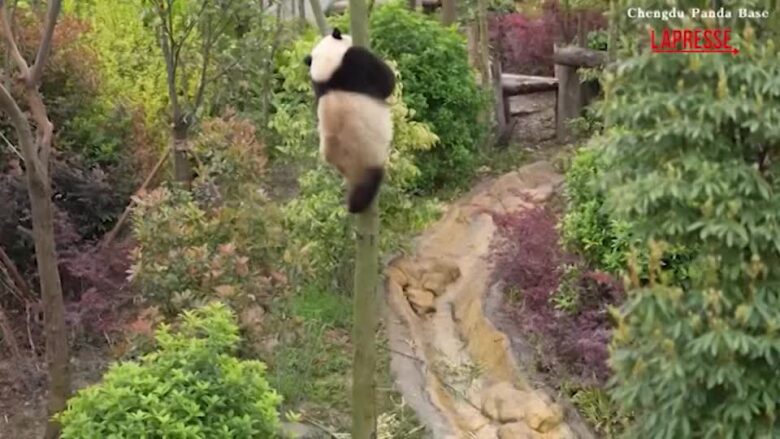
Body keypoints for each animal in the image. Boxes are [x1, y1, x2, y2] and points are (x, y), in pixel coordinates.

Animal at [304, 28, 396, 213]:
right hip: (367, 157)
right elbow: (387, 83)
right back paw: (356, 205)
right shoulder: (355, 64)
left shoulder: (319, 85)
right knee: (369, 183)